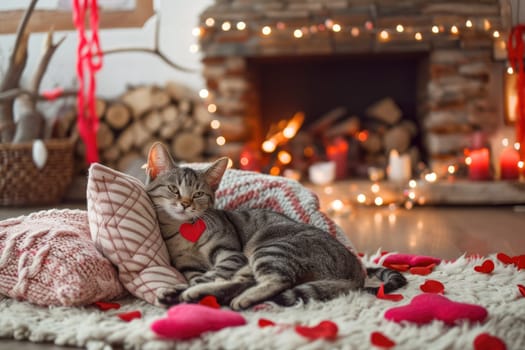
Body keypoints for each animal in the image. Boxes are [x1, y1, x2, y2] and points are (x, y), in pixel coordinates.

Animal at [145, 141, 408, 310]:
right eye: (173, 189)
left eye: (198, 193)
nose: (185, 203)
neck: (183, 232)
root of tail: (356, 270)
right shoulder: (189, 266)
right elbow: (201, 276)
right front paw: (180, 288)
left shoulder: (232, 255)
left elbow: (210, 274)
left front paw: (186, 287)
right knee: (245, 282)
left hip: (272, 246)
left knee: (276, 281)